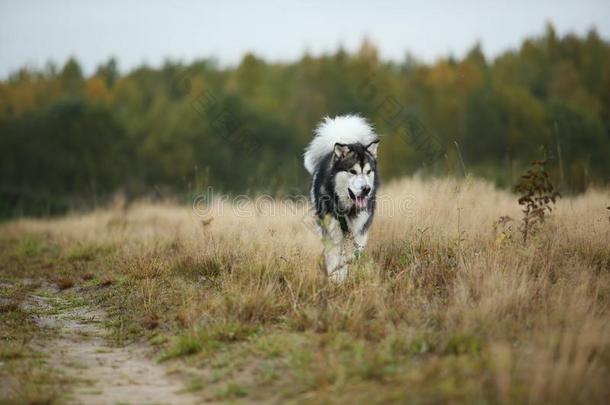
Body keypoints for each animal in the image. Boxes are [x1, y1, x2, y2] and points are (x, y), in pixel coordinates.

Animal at [302, 112, 378, 280]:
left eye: (368, 172)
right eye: (353, 171)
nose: (366, 189)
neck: (347, 209)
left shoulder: (360, 229)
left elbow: (352, 254)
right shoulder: (332, 231)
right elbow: (334, 257)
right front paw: (336, 277)